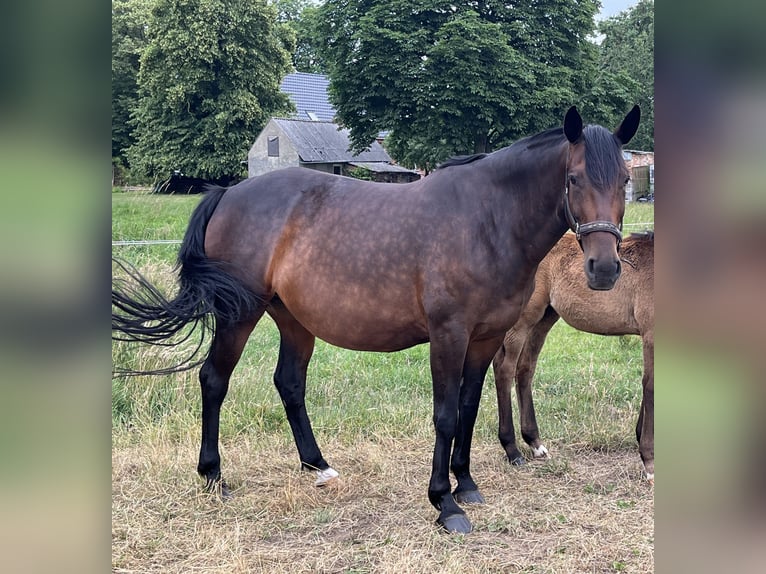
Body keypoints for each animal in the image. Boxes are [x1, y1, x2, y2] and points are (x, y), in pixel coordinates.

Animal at [492, 231, 654, 482]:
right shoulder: (651, 335)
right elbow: (650, 387)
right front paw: (648, 460)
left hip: (546, 316)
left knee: (526, 368)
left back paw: (535, 443)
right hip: (524, 319)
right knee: (505, 368)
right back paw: (512, 450)